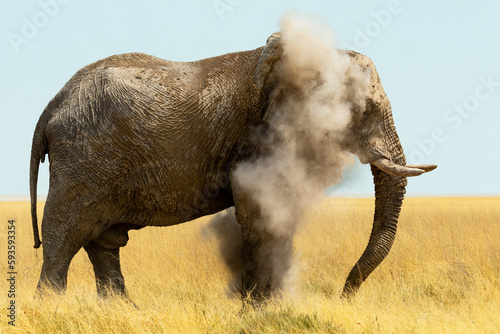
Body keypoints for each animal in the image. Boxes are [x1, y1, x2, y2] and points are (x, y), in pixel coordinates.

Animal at [30, 31, 438, 302]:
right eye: (362, 110)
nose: (343, 295)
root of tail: (51, 106)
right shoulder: (256, 140)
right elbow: (260, 213)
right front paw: (258, 309)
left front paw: (270, 306)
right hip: (83, 159)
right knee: (63, 240)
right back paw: (53, 310)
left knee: (104, 243)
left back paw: (122, 311)